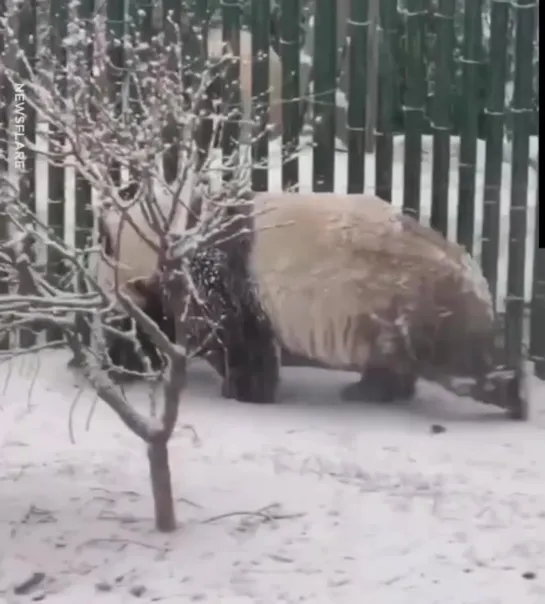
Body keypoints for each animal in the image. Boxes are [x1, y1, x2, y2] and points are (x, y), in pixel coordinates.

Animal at [135, 191, 506, 404]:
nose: (150, 358)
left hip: (411, 301)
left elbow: (238, 335)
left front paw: (243, 390)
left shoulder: (221, 282)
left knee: (442, 358)